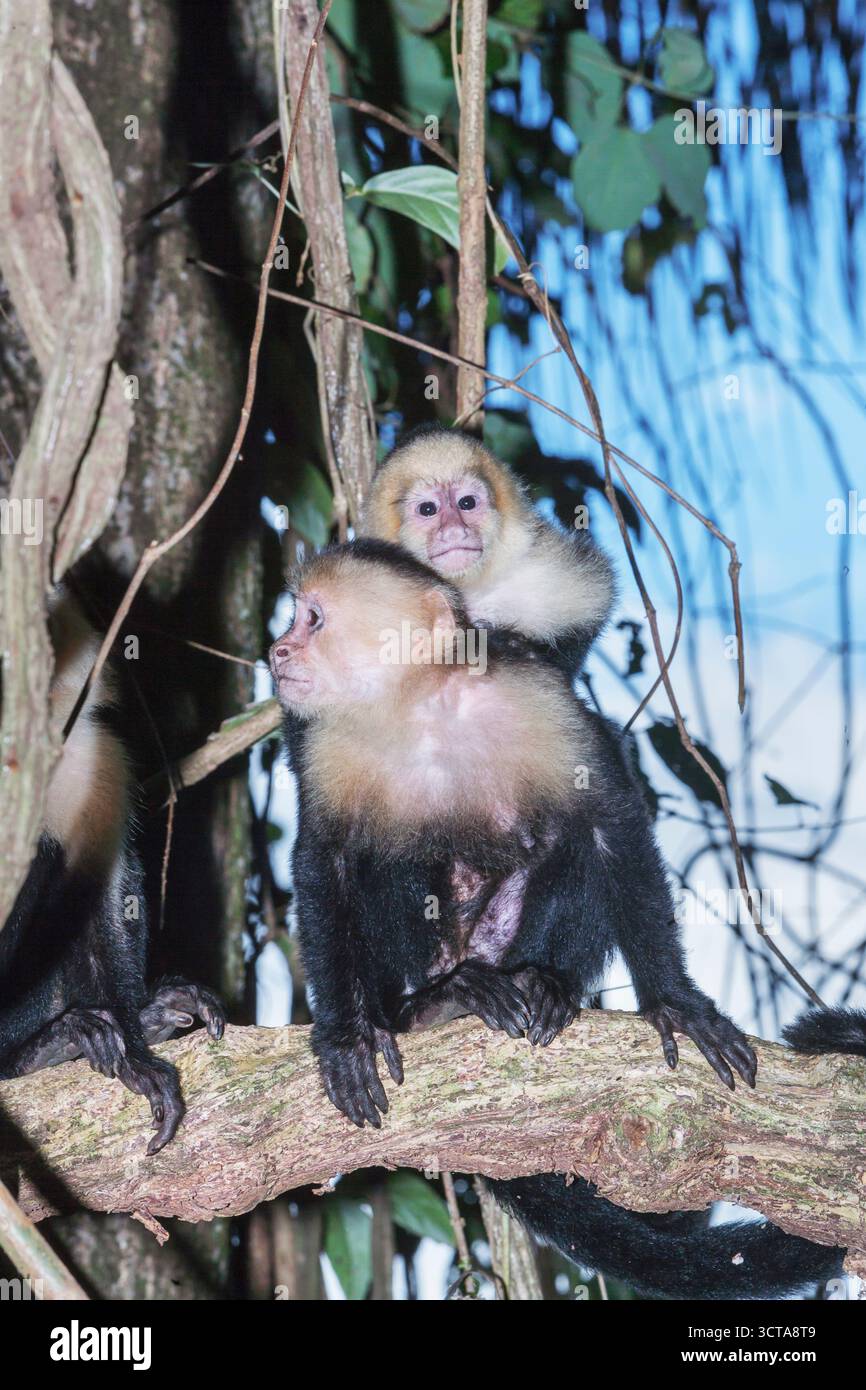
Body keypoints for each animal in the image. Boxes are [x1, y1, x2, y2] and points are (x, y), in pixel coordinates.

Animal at [269, 537, 866, 1298]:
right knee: (390, 863)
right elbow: (328, 862)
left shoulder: (536, 697)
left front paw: (673, 1002)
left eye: (312, 619)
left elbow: (609, 816)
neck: (420, 706)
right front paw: (348, 1036)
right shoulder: (325, 744)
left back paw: (544, 985)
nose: (279, 649)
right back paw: (436, 1002)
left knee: (566, 839)